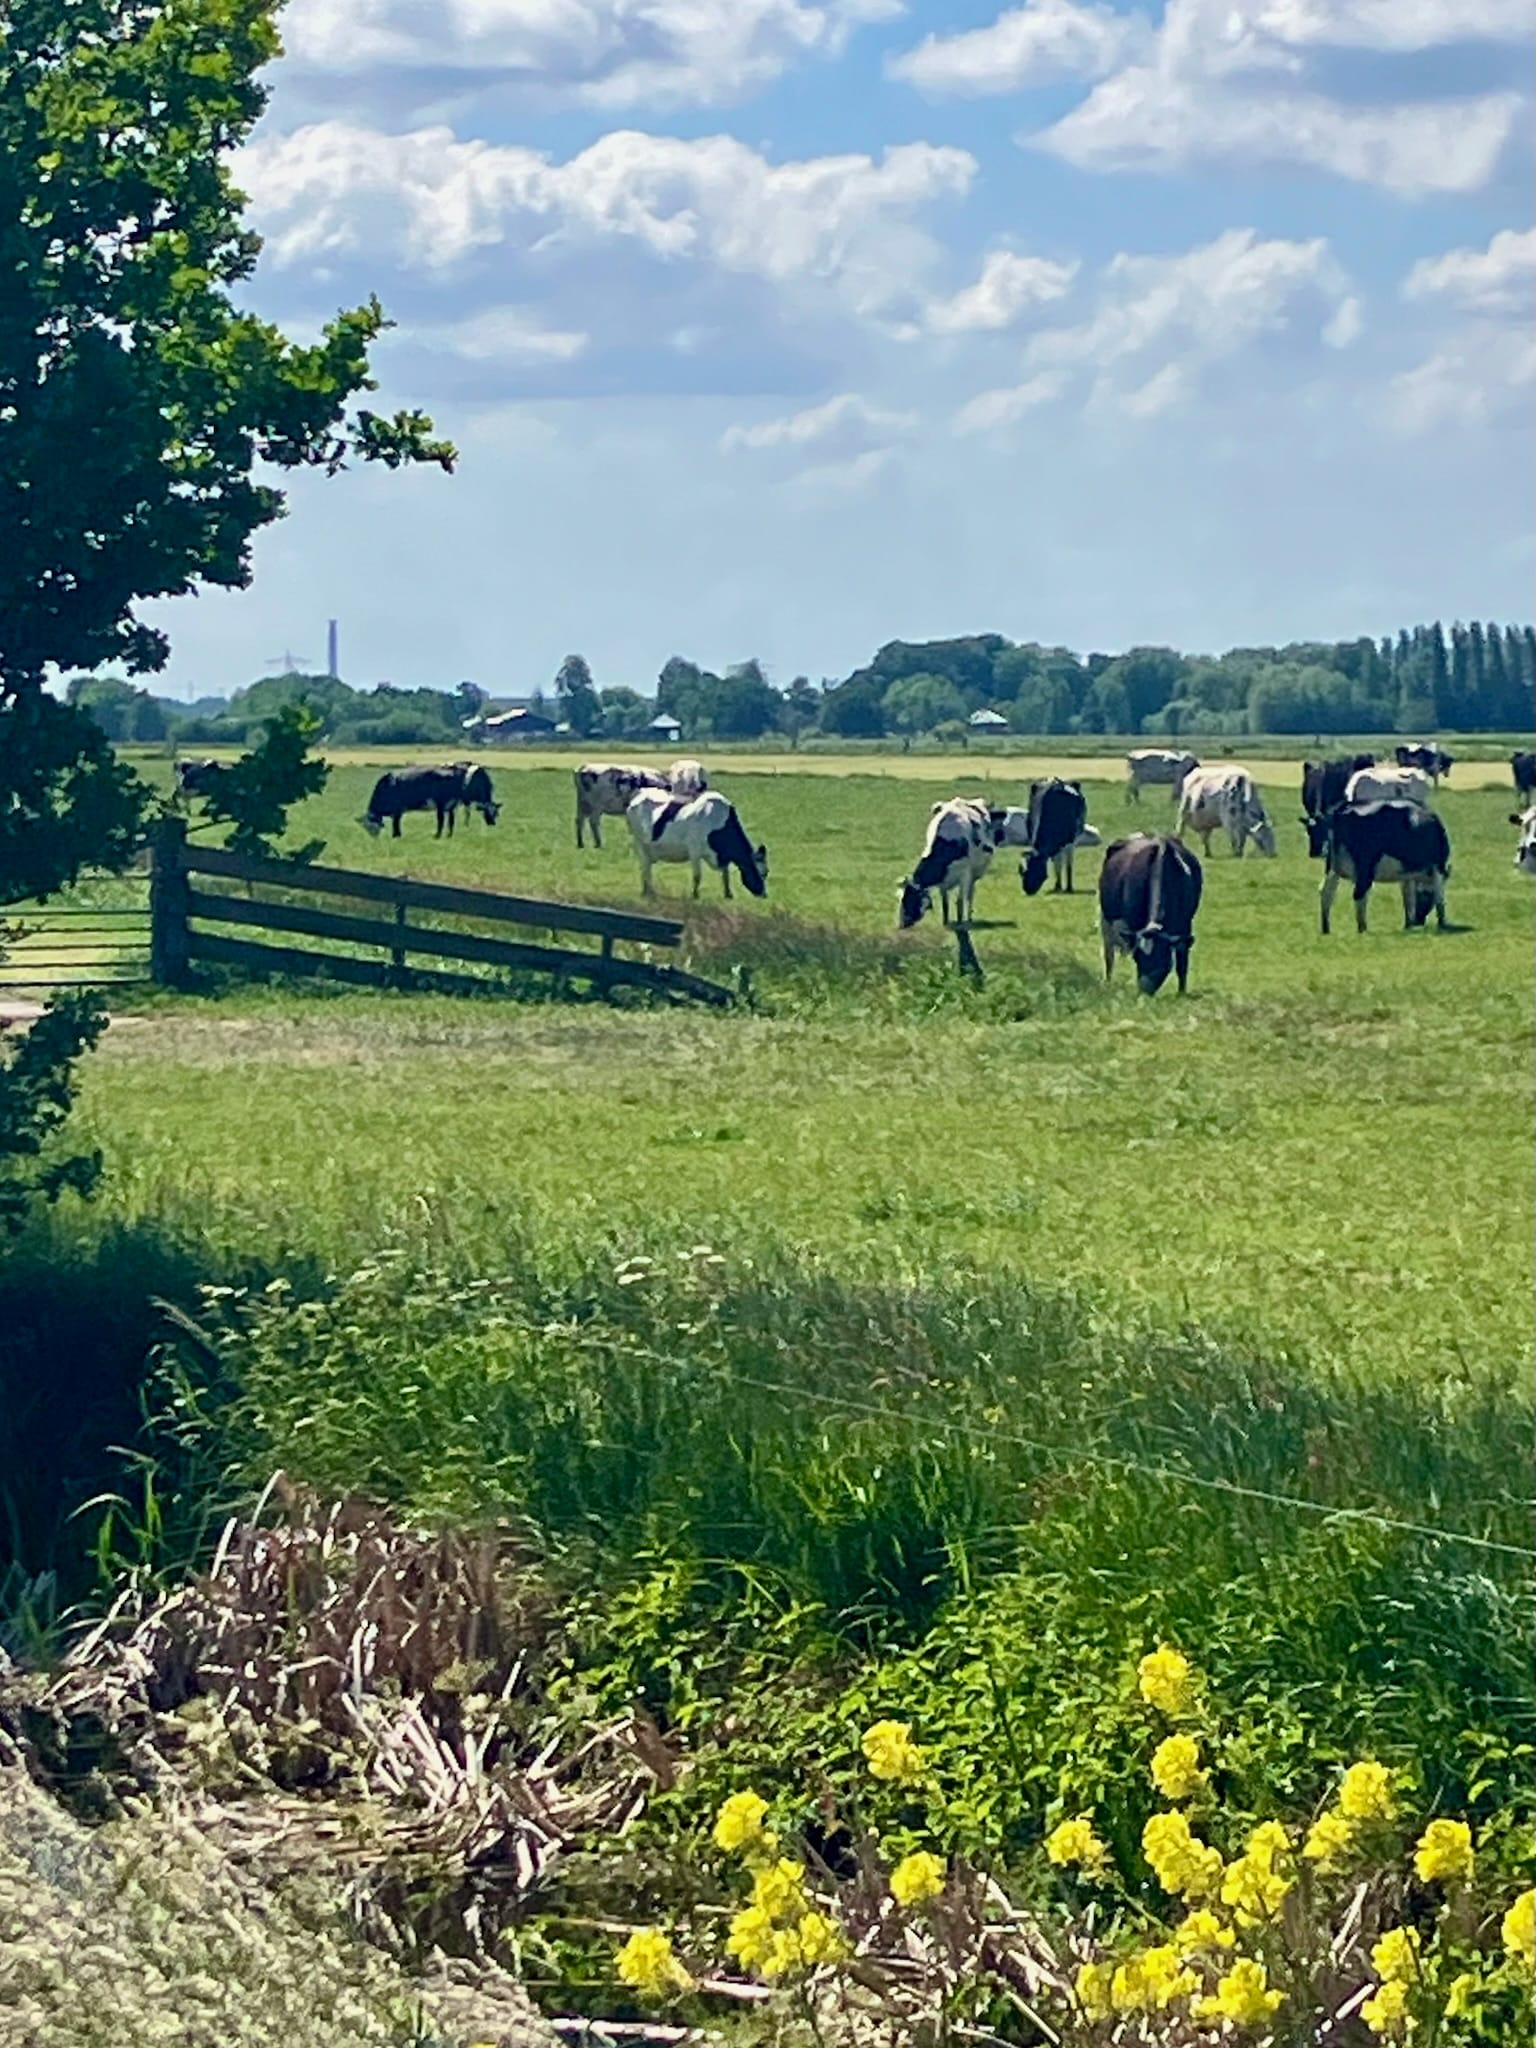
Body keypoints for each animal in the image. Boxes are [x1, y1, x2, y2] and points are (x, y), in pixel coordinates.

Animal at [361, 763, 499, 838]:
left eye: (496, 814)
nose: (493, 824)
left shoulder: (398, 809)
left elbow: (396, 822)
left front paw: (396, 835)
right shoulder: (451, 805)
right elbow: (450, 822)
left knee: (441, 820)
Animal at [625, 788, 767, 900]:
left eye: (766, 872)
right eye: (757, 872)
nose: (763, 894)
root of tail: (640, 794)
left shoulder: (722, 856)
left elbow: (725, 875)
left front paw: (728, 894)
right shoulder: (694, 850)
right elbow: (697, 876)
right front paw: (695, 895)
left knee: (646, 867)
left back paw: (647, 891)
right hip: (639, 842)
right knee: (645, 868)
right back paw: (648, 892)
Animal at [898, 797, 995, 929]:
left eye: (912, 900)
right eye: (902, 899)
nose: (902, 924)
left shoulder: (964, 874)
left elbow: (960, 901)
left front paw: (960, 924)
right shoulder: (943, 881)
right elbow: (945, 903)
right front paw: (945, 922)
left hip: (976, 872)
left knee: (970, 894)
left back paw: (969, 918)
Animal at [1098, 835, 1203, 995]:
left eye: (1164, 961)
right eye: (1137, 958)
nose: (1144, 992)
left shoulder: (1185, 924)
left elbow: (1182, 962)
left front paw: (1181, 992)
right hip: (1105, 921)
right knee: (1109, 955)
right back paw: (1108, 982)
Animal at [1303, 801, 1450, 934]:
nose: (1419, 922)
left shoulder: (1406, 874)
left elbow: (1408, 897)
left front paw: (1408, 924)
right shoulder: (1438, 866)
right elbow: (1439, 896)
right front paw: (1442, 923)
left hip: (1333, 867)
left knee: (1326, 892)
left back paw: (1326, 929)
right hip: (1364, 866)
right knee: (1358, 893)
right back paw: (1362, 928)